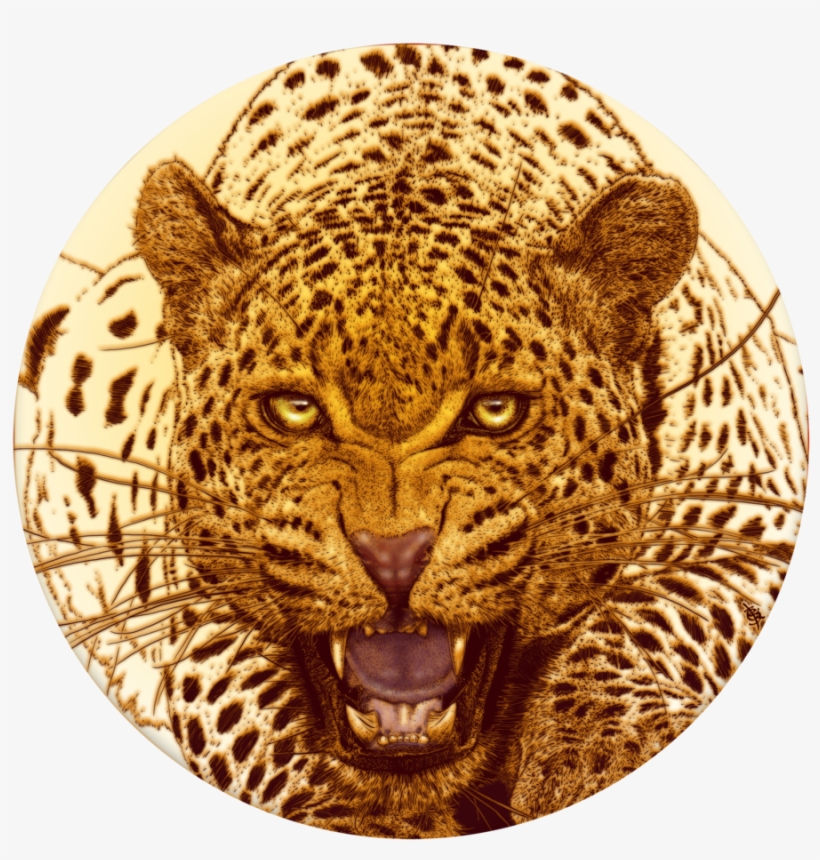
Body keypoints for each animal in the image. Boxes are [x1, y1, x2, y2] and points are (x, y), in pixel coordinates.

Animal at [16, 45, 807, 838]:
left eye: (495, 411)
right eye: (294, 410)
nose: (393, 556)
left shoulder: (753, 525)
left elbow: (649, 614)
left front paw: (609, 748)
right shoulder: (192, 606)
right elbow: (258, 699)